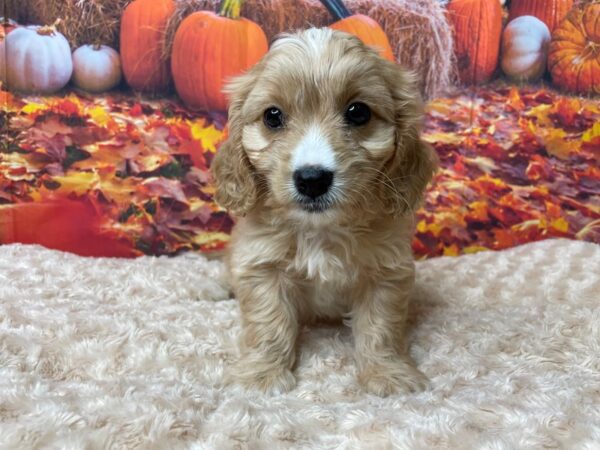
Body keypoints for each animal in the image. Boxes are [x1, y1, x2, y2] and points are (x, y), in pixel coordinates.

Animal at [211, 28, 436, 396]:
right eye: (272, 116)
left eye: (358, 112)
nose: (312, 179)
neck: (321, 229)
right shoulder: (261, 265)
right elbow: (268, 323)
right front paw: (261, 374)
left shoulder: (386, 271)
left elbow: (381, 328)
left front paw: (388, 373)